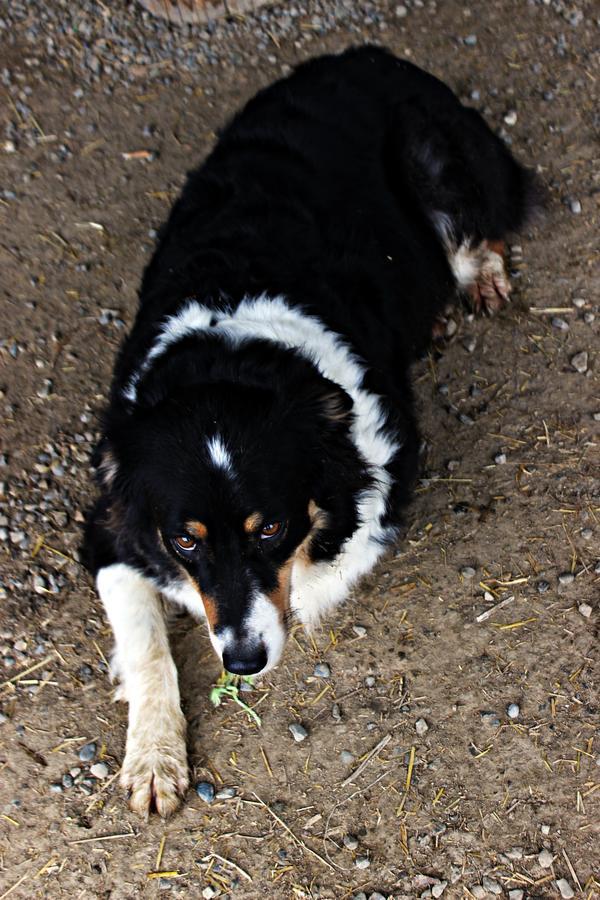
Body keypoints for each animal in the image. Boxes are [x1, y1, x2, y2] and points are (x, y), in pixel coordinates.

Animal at [83, 45, 536, 816]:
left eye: (271, 528)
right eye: (184, 539)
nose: (243, 662)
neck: (228, 355)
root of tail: (370, 53)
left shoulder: (380, 477)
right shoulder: (109, 524)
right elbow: (147, 643)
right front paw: (153, 757)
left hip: (431, 148)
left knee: (474, 229)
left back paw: (475, 283)